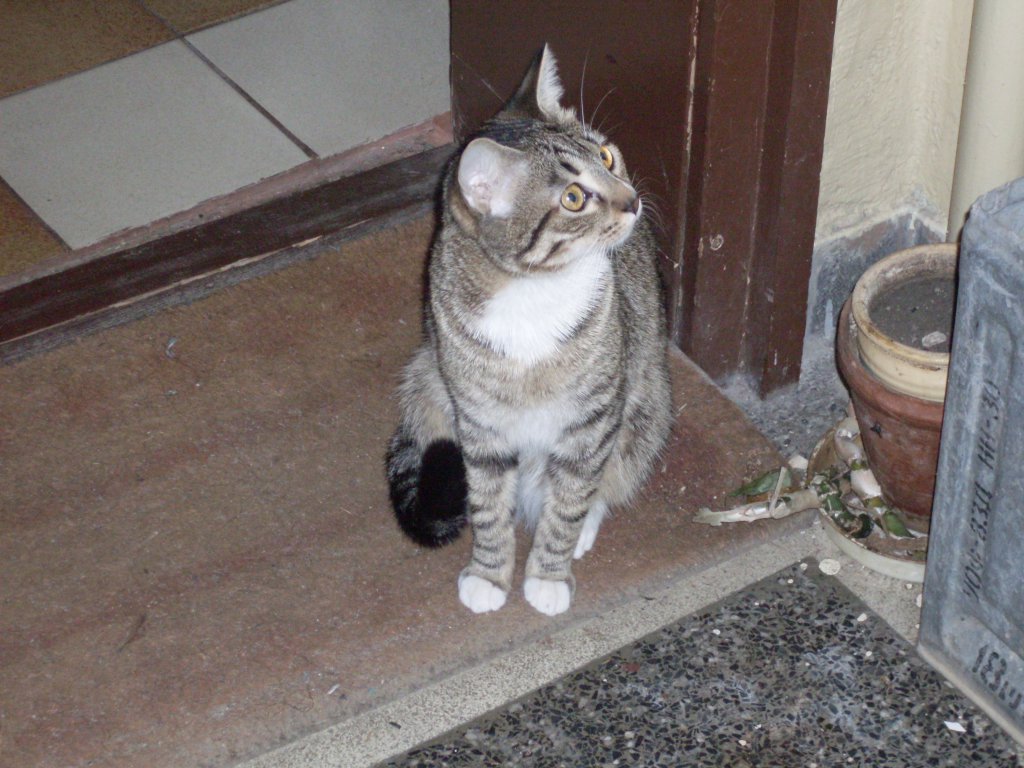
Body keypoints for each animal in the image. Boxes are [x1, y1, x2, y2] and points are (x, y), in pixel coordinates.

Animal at [386, 45, 672, 616]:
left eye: (607, 157)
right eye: (573, 198)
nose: (632, 201)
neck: (531, 292)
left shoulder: (593, 418)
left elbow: (569, 502)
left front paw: (548, 575)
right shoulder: (480, 422)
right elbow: (488, 506)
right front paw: (489, 576)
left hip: (646, 404)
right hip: (427, 377)